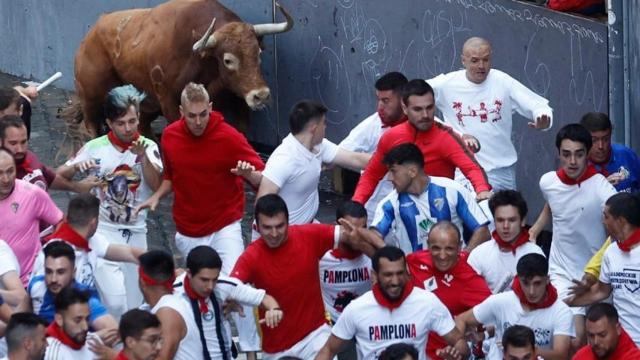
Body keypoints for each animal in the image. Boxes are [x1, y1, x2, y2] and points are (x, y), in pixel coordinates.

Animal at [74, 0, 292, 138]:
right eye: (228, 60)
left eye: (258, 53)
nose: (261, 95)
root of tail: (92, 32)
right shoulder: (168, 100)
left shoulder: (238, 99)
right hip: (91, 97)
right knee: (91, 125)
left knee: (142, 125)